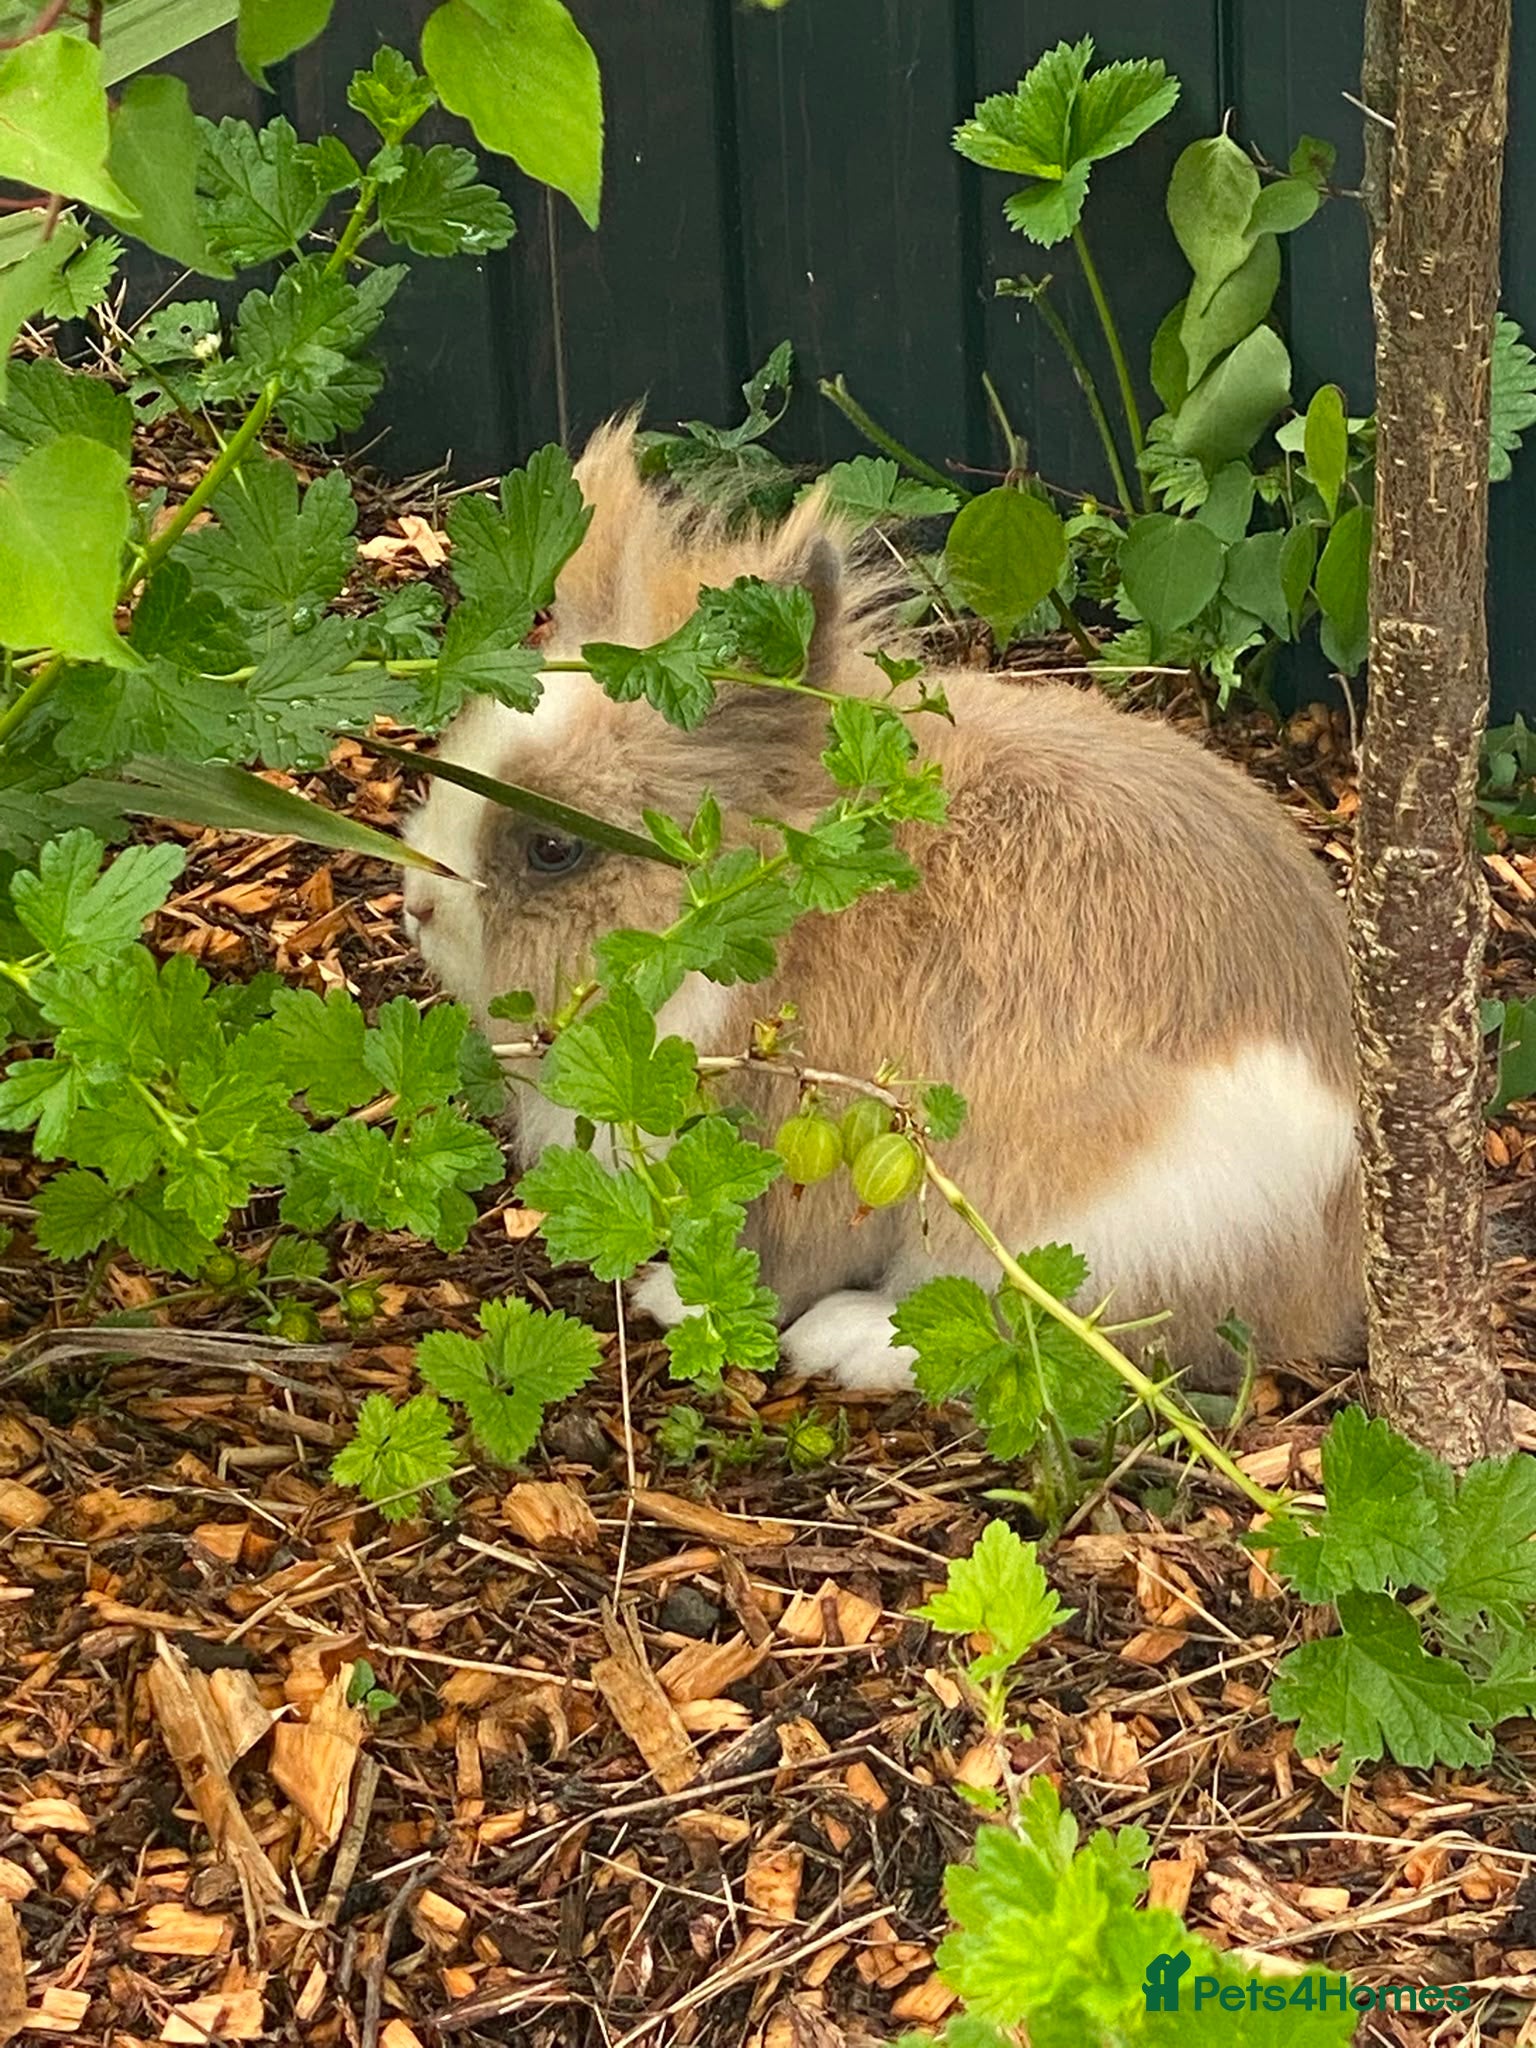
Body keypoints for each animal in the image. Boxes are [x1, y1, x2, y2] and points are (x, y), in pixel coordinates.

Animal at [402, 417, 1364, 1392]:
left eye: (553, 849)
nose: (417, 906)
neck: (773, 913)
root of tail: (1329, 1275)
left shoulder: (801, 1146)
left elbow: (776, 1260)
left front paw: (677, 1302)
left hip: (1069, 1222)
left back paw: (849, 1341)